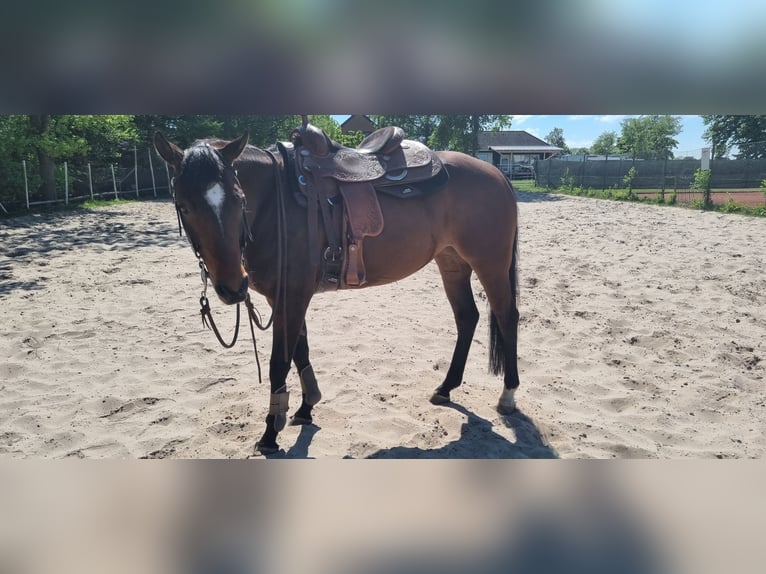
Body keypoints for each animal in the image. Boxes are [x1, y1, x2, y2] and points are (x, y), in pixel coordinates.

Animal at [154, 122, 520, 455]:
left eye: (238, 198)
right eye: (183, 206)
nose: (233, 286)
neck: (275, 202)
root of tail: (496, 174)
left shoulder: (291, 297)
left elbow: (279, 362)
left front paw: (271, 434)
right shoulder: (285, 297)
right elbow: (300, 350)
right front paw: (305, 407)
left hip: (490, 264)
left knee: (507, 316)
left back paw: (507, 395)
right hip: (452, 263)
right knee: (467, 317)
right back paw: (445, 388)